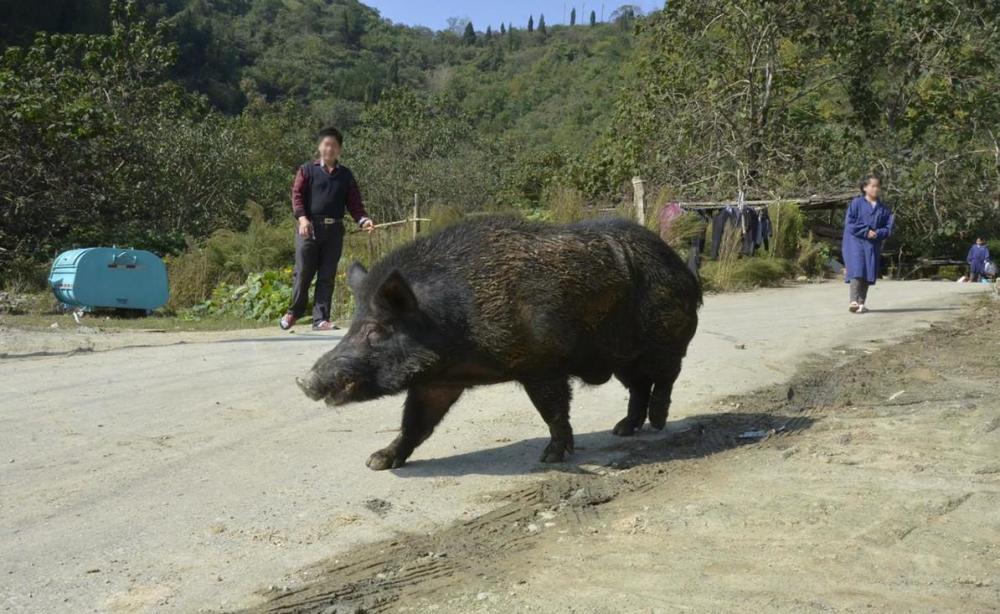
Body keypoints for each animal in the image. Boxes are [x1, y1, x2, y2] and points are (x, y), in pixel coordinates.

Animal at [296, 217, 704, 472]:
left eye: (377, 329)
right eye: (351, 326)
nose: (305, 380)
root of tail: (686, 272)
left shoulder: (542, 364)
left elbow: (553, 411)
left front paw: (550, 458)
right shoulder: (438, 382)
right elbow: (415, 423)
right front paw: (377, 461)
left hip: (666, 338)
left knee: (666, 378)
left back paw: (658, 423)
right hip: (623, 358)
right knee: (638, 387)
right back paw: (623, 429)